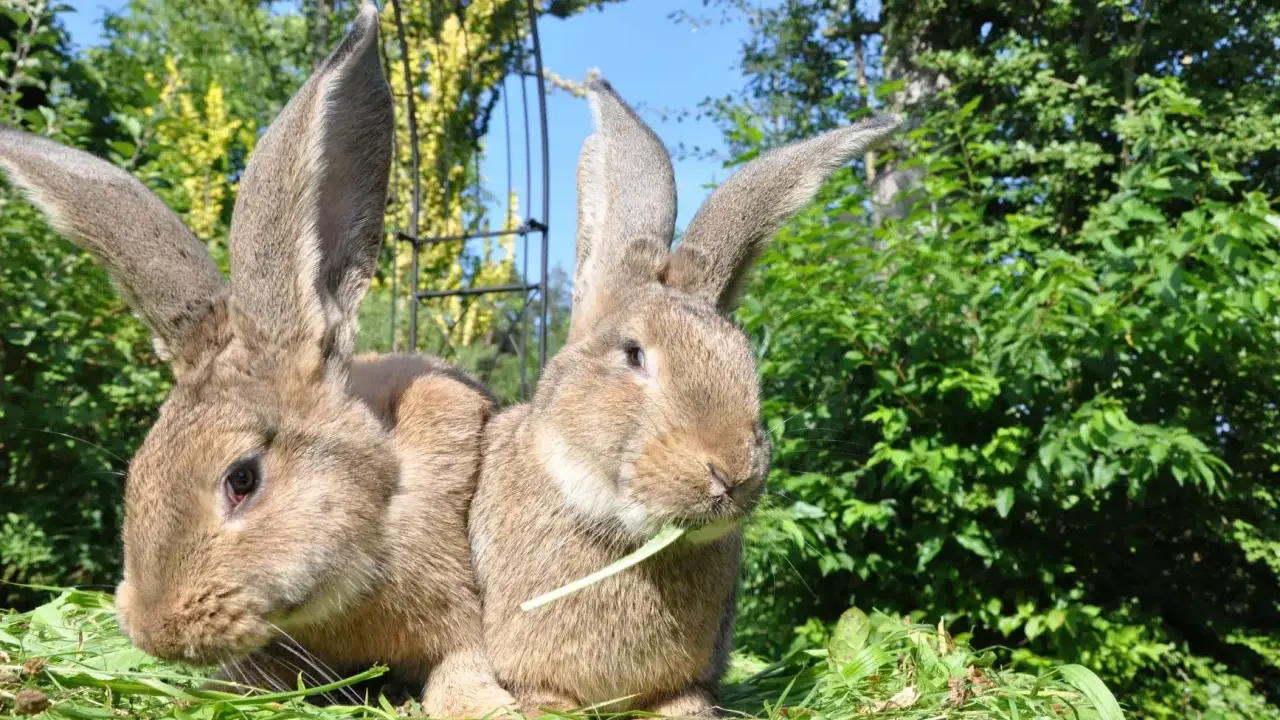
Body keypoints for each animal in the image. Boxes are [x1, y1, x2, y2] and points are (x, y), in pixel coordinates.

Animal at [0, 3, 514, 717]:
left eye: (241, 478)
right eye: (139, 471)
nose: (158, 631)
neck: (382, 503)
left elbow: (460, 668)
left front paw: (485, 702)